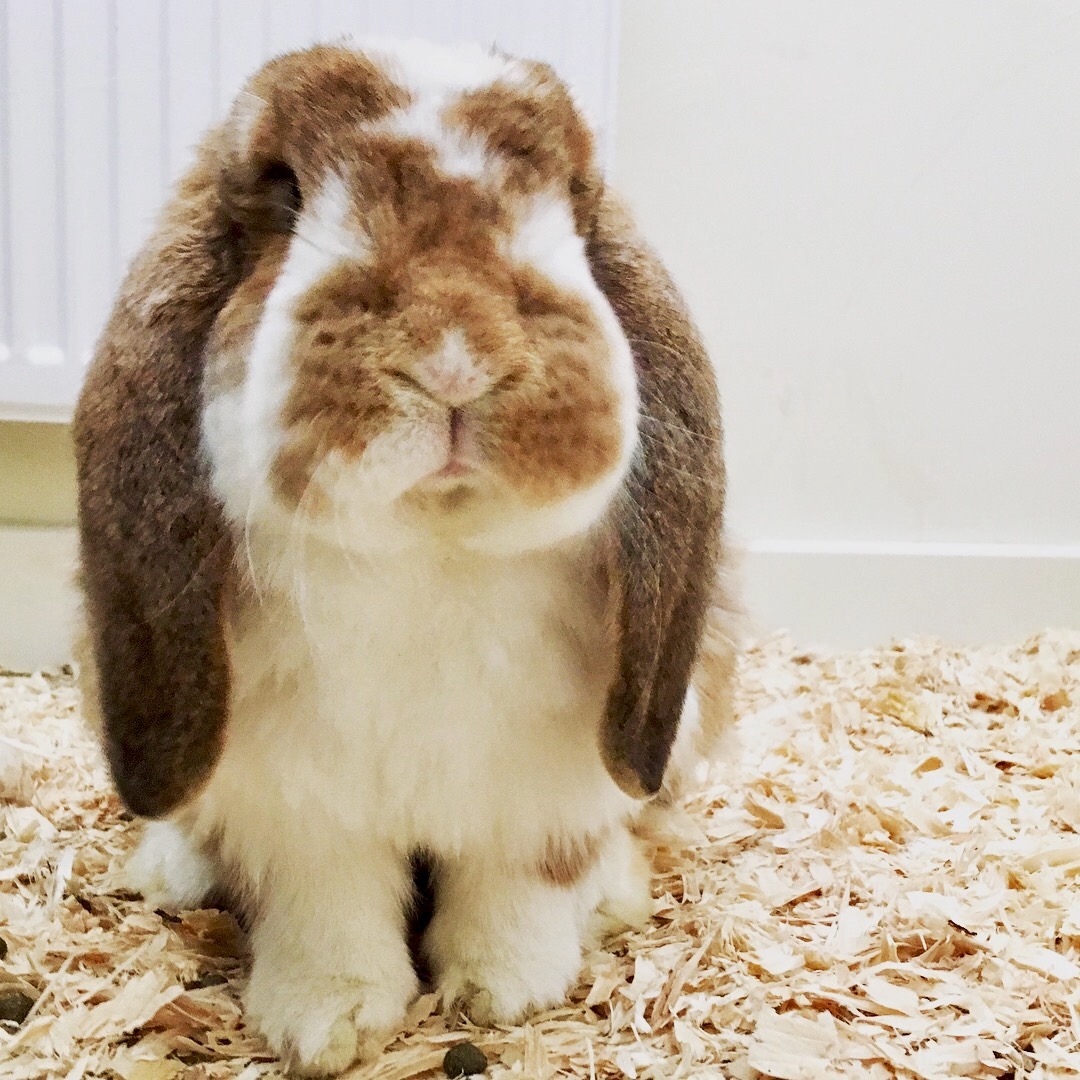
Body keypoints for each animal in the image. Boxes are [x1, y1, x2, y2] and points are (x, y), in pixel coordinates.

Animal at [73, 38, 739, 1076]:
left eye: (575, 198)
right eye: (283, 192)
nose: (457, 357)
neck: (432, 554)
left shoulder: (542, 786)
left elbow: (525, 876)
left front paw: (505, 989)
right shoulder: (303, 805)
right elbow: (328, 902)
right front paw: (329, 1018)